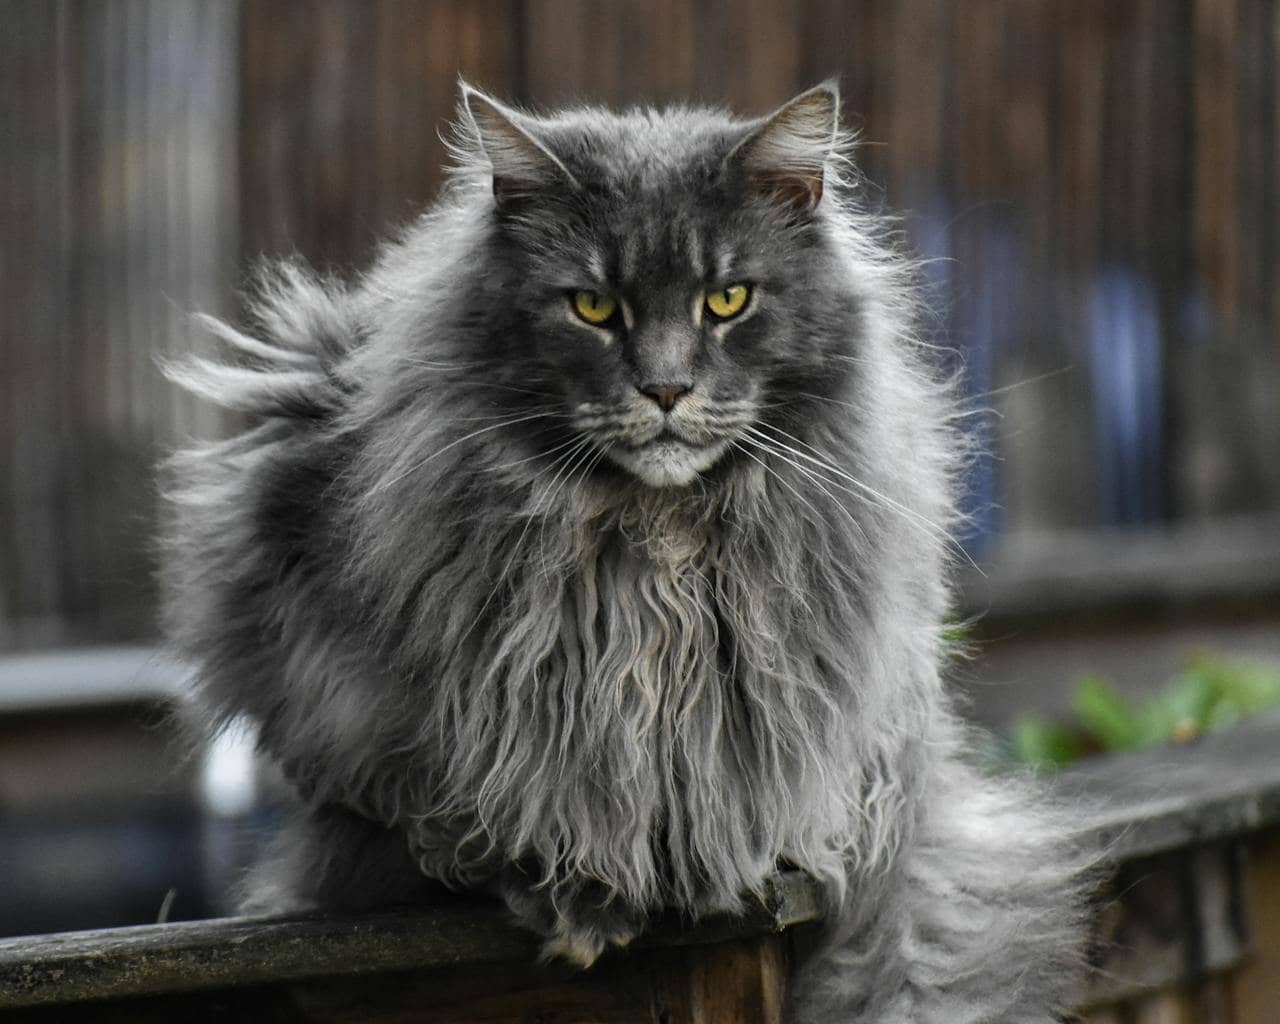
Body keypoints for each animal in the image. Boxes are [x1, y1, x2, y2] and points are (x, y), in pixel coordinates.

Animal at [162, 81, 1090, 1024]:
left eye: (728, 300)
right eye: (595, 308)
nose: (667, 389)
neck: (658, 546)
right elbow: (489, 806)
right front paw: (569, 891)